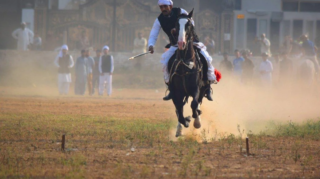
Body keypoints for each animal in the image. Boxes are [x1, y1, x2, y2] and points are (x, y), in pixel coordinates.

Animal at [168, 9, 210, 137]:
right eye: (176, 25)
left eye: (189, 25)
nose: (181, 43)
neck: (184, 65)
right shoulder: (176, 92)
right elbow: (179, 111)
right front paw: (185, 122)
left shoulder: (196, 88)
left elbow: (194, 104)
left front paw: (196, 122)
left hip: (202, 89)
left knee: (198, 102)